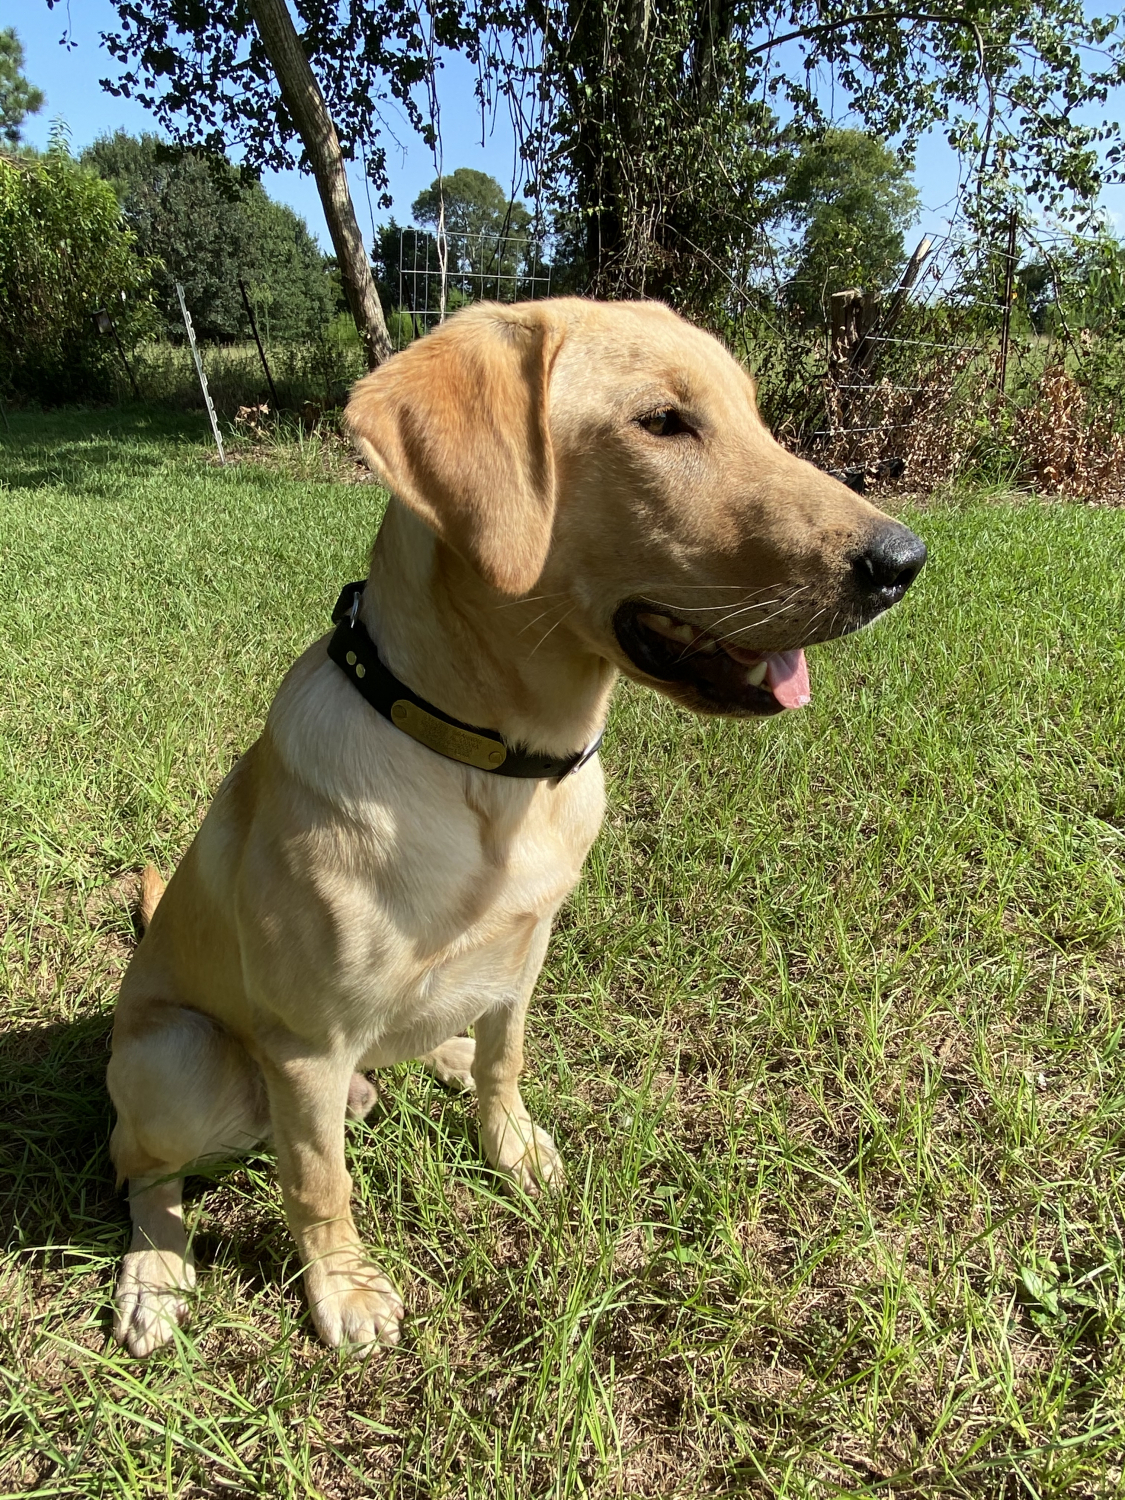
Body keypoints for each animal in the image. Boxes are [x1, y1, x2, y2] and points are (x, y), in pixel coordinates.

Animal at [107, 298, 925, 1357]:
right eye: (663, 423)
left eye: (753, 413)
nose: (903, 563)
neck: (489, 768)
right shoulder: (303, 1041)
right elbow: (320, 1184)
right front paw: (344, 1289)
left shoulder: (527, 944)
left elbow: (507, 1058)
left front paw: (511, 1145)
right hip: (180, 1059)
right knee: (140, 1167)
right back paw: (155, 1273)